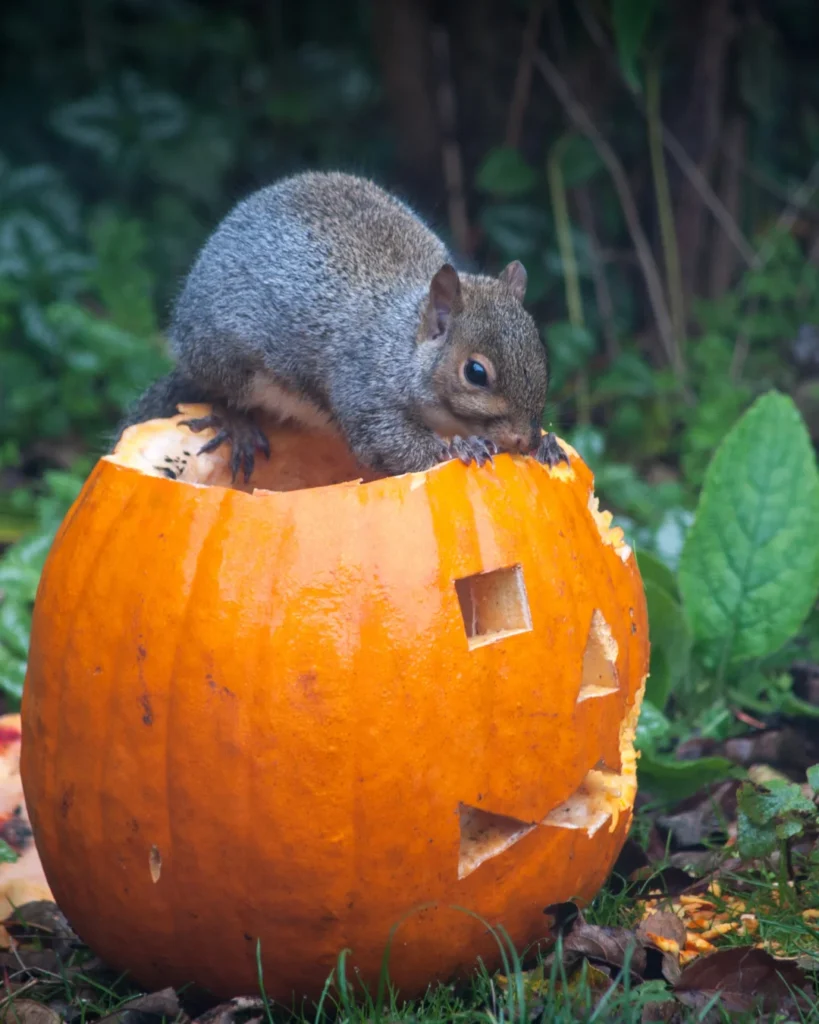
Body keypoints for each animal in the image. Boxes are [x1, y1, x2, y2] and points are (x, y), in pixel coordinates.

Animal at [119, 171, 569, 479]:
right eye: (475, 373)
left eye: (542, 354)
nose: (524, 440)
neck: (401, 342)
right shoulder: (364, 388)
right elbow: (389, 444)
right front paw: (460, 448)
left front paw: (547, 447)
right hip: (225, 358)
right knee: (216, 392)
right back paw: (236, 423)